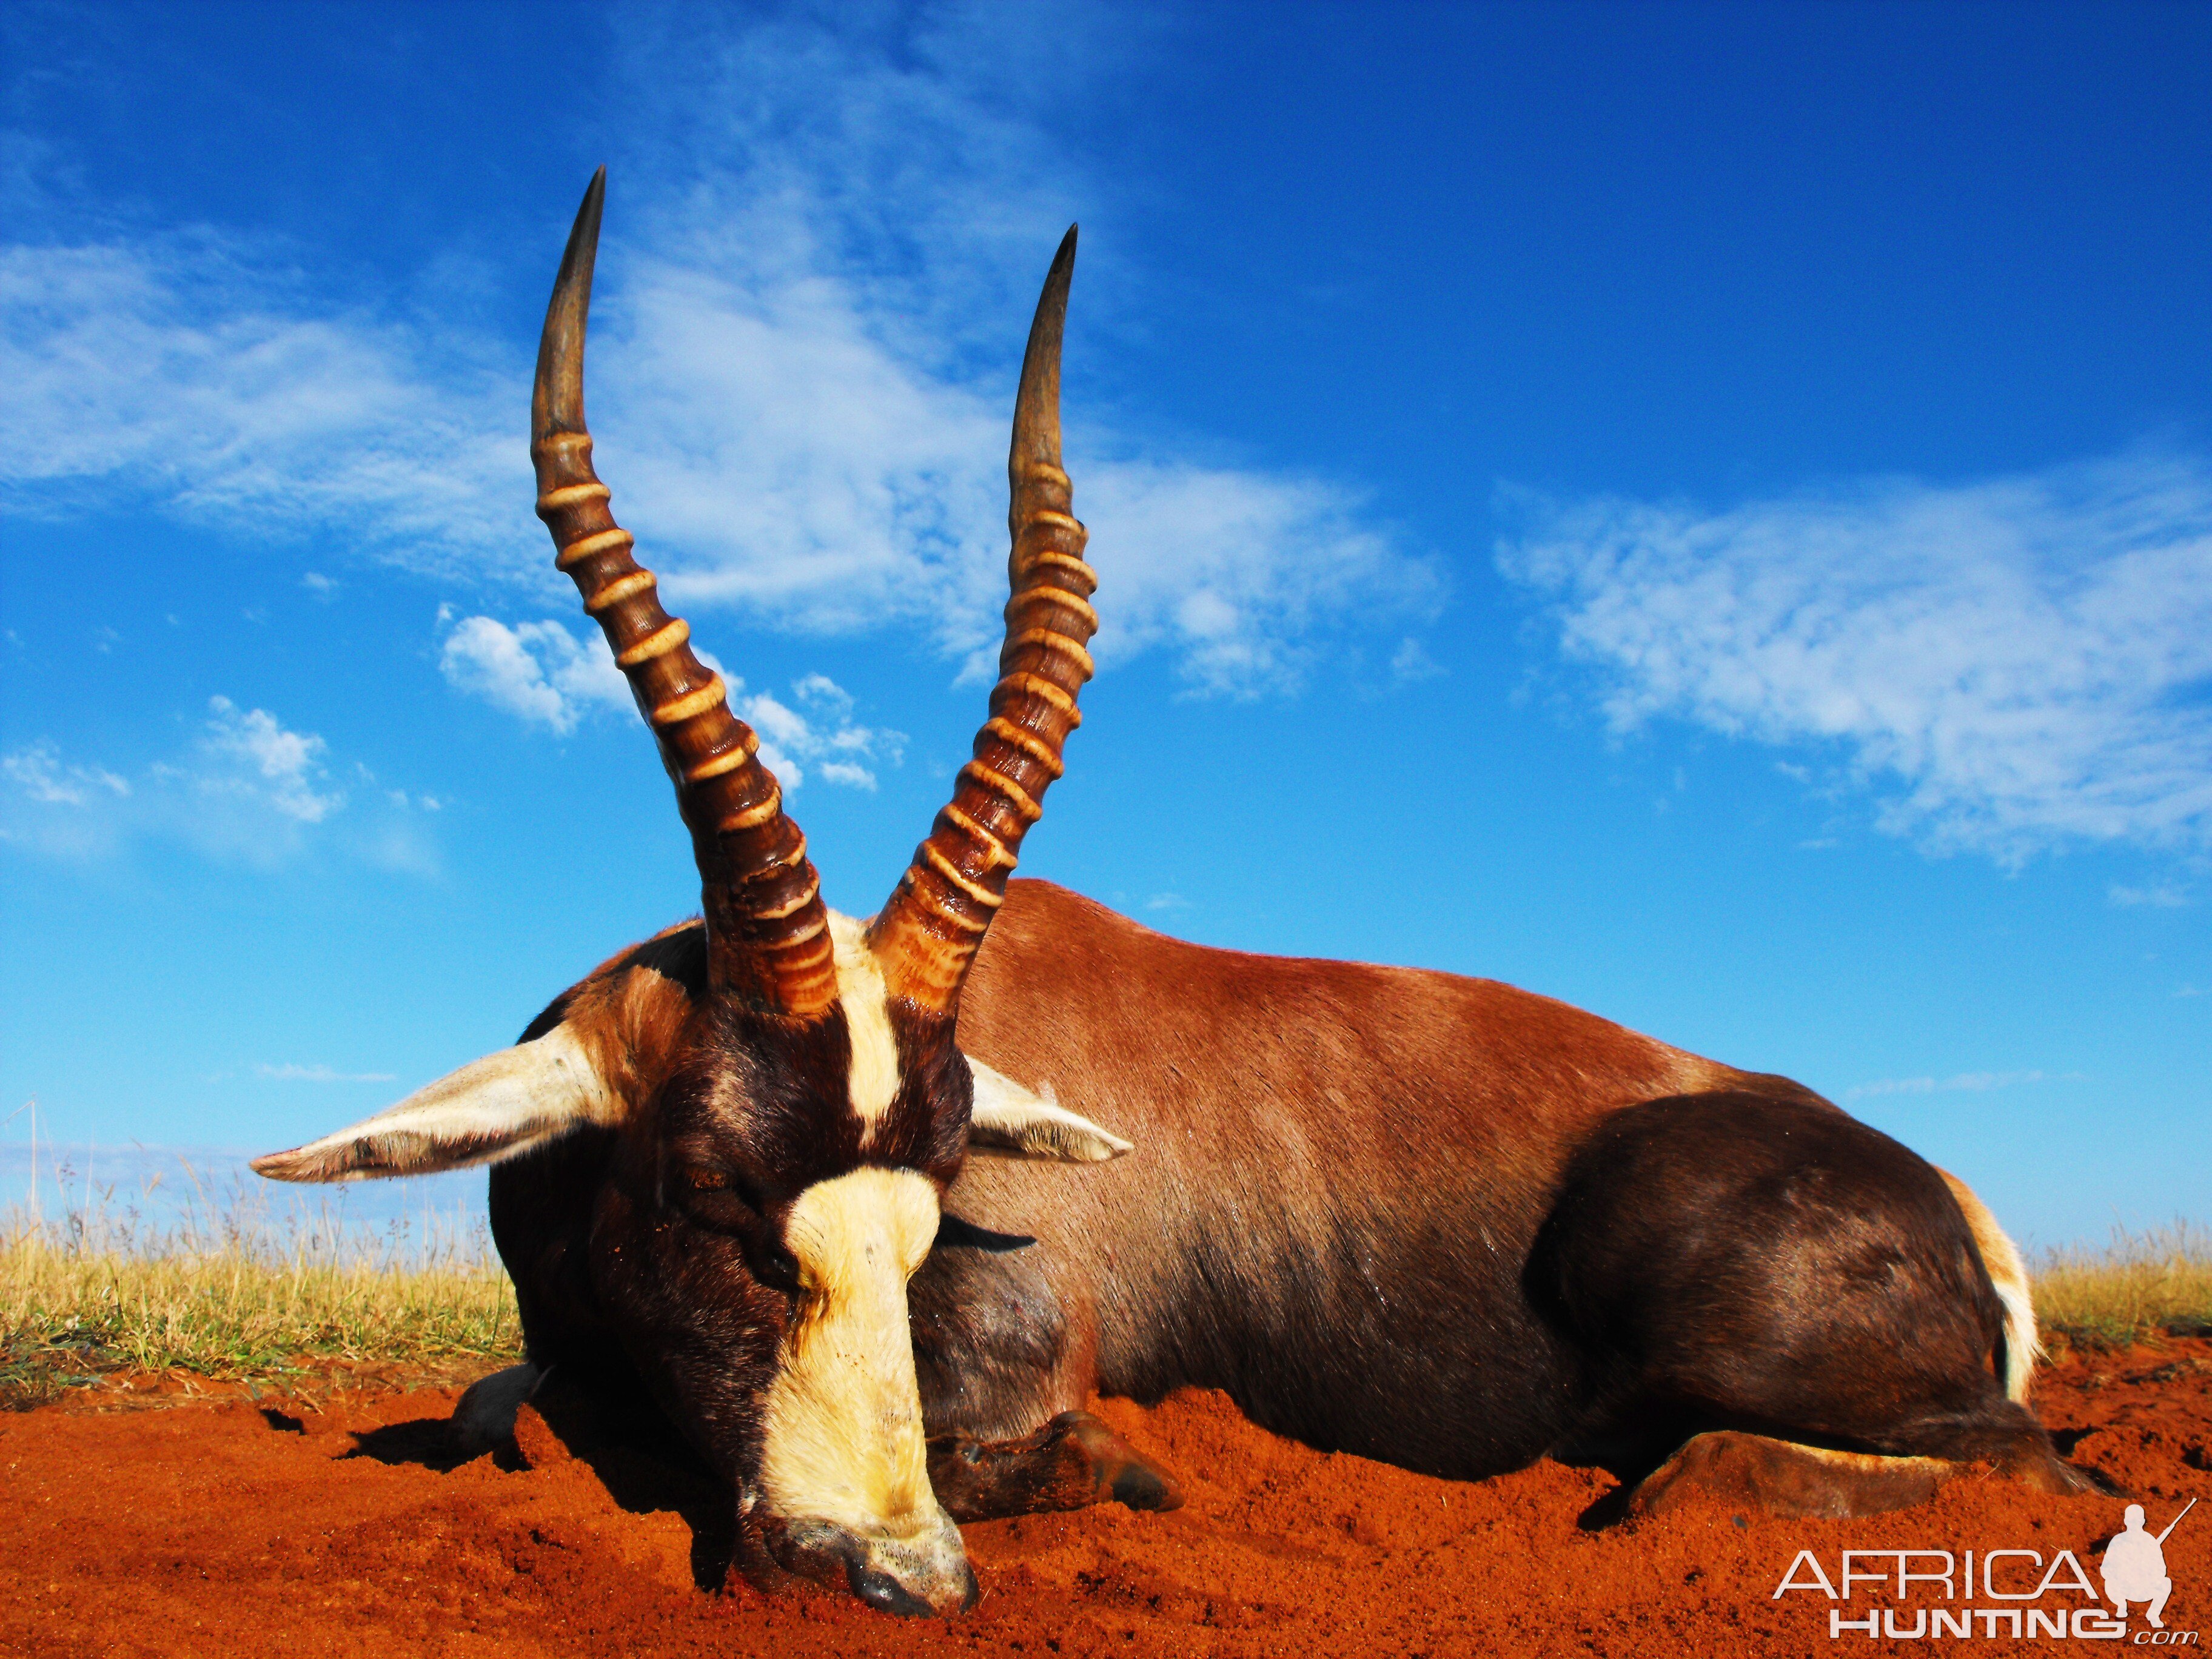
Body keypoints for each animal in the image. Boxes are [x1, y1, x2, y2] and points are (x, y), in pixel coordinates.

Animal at [258, 176, 2088, 1619]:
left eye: (937, 1198)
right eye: (708, 1183)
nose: (896, 1576)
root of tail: (1956, 1207)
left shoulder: (1018, 1370)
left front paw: (1133, 1474)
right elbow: (501, 1403)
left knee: (2030, 1463)